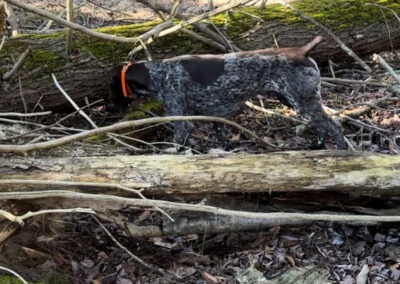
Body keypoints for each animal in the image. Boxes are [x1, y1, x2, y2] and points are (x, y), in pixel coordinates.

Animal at [111, 36, 346, 149]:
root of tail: (303, 52)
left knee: (334, 126)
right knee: (323, 126)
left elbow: (177, 143)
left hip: (302, 101)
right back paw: (318, 146)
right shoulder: (216, 117)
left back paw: (342, 150)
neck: (160, 74)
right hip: (294, 100)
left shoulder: (181, 118)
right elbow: (222, 138)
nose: (113, 104)